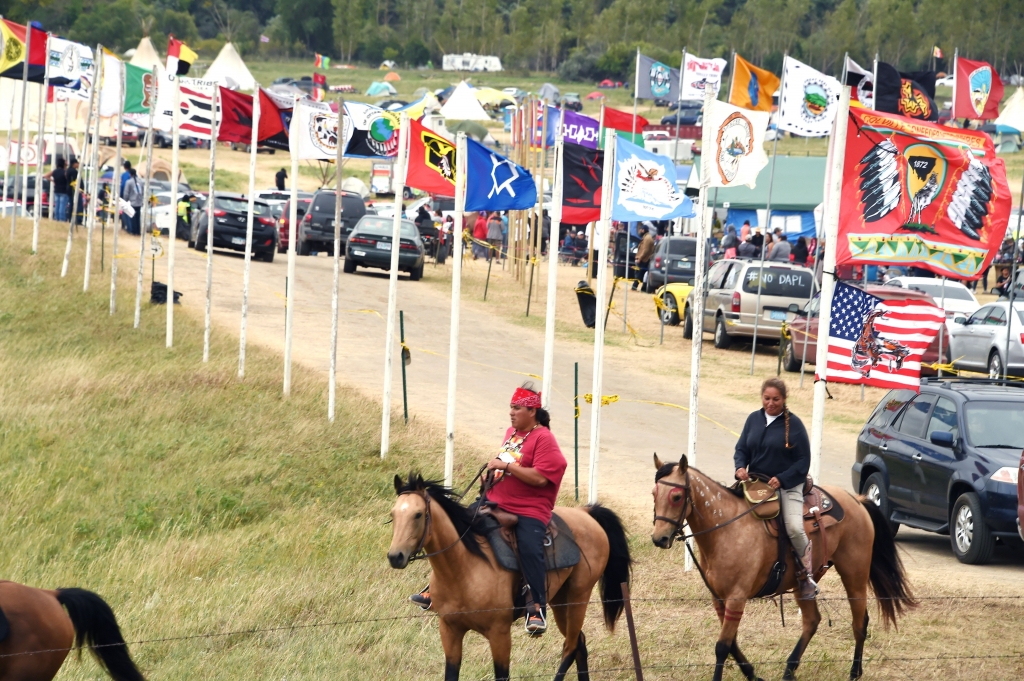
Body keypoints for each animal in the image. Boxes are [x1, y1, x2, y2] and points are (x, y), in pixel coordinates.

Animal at [385, 473, 630, 679]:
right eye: (393, 514)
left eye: (418, 515)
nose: (395, 556)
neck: (464, 569)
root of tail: (585, 513)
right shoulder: (450, 630)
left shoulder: (500, 635)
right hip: (561, 601)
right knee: (579, 643)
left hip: (578, 597)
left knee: (570, 647)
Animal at [651, 450, 917, 679]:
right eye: (654, 494)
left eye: (676, 496)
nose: (659, 538)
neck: (727, 527)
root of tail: (858, 500)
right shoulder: (719, 598)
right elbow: (732, 643)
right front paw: (753, 674)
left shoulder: (737, 597)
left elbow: (722, 647)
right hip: (804, 583)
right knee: (812, 621)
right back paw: (789, 670)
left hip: (855, 575)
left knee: (859, 622)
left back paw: (853, 673)